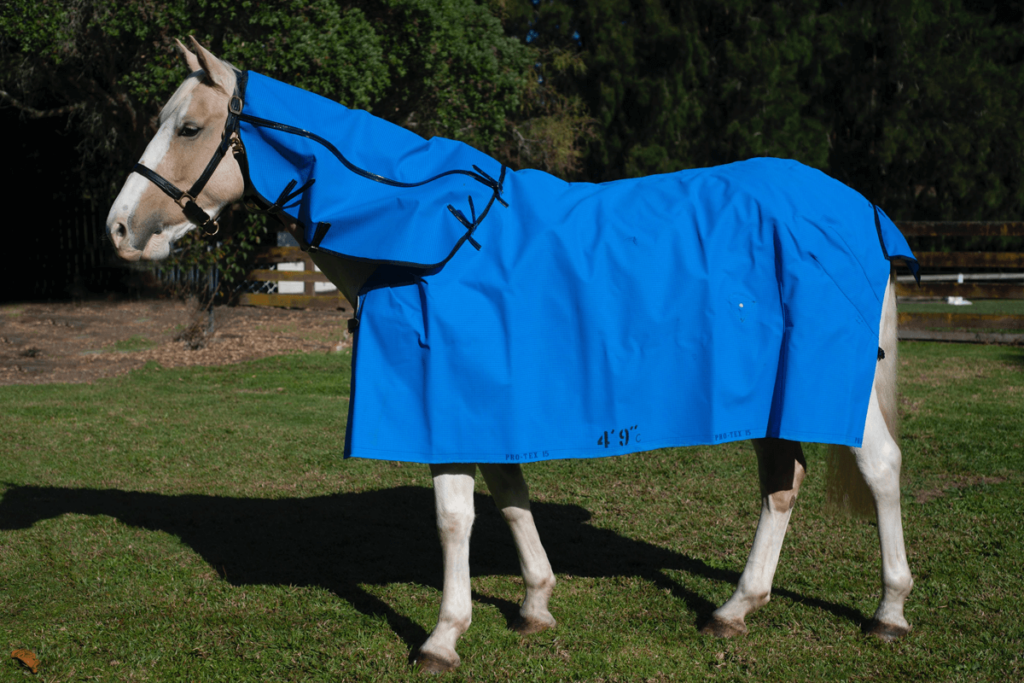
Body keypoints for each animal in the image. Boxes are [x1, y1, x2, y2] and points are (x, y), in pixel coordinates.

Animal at [106, 38, 916, 672]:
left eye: (190, 126)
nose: (119, 228)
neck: (428, 230)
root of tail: (863, 210)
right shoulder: (484, 403)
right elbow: (510, 494)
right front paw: (535, 604)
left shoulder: (441, 403)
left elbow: (455, 517)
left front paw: (442, 637)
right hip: (778, 392)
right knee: (782, 484)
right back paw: (734, 609)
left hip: (834, 386)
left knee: (879, 468)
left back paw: (888, 612)